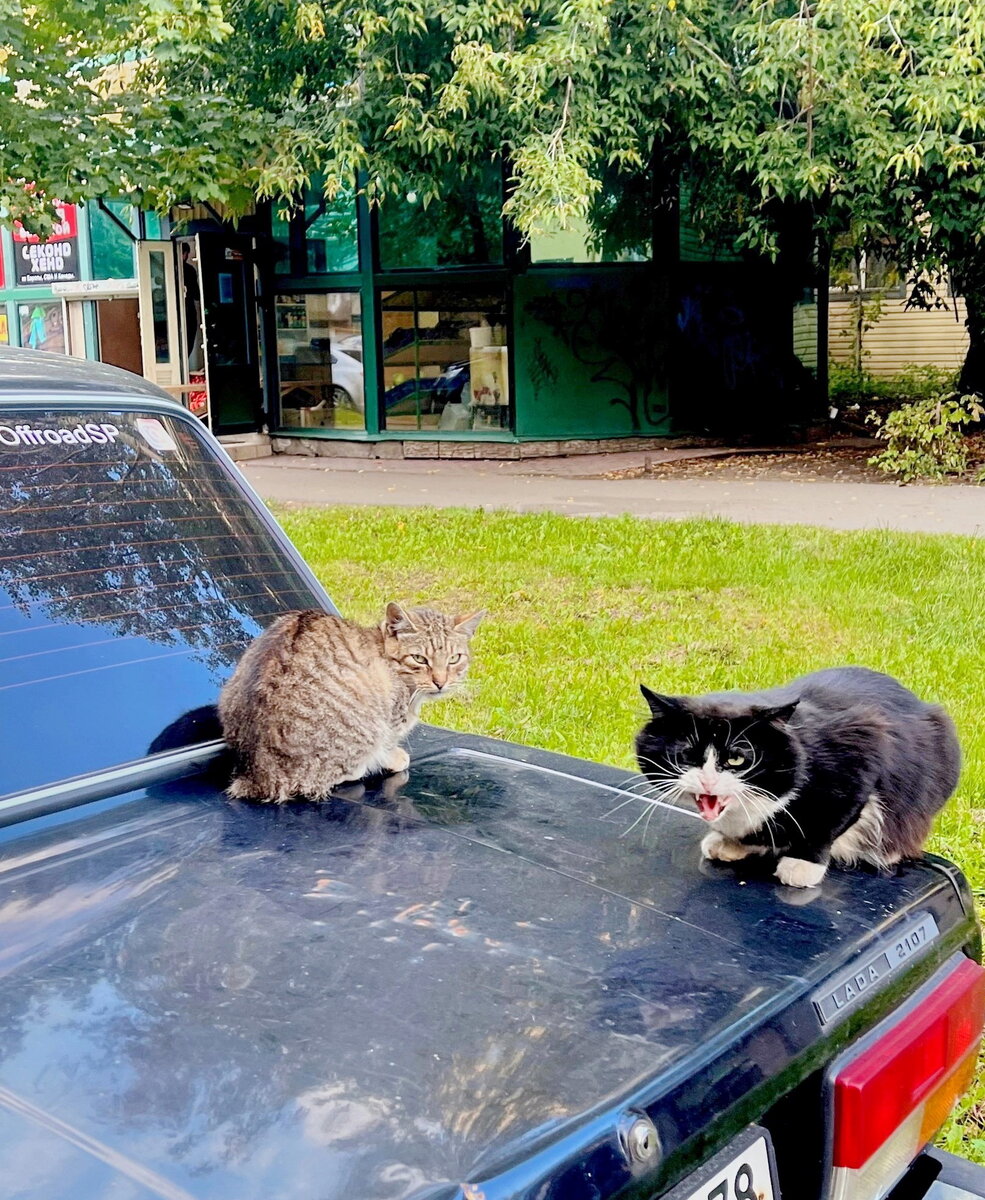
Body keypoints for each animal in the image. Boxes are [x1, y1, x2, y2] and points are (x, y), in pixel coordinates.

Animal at [221, 604, 484, 801]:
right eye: (419, 658)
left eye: (454, 659)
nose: (441, 682)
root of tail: (259, 776)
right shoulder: (390, 722)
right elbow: (388, 745)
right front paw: (395, 757)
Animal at [633, 667, 955, 892]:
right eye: (687, 755)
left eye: (737, 759)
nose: (708, 782)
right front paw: (730, 843)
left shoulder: (865, 747)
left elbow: (827, 823)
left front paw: (802, 865)